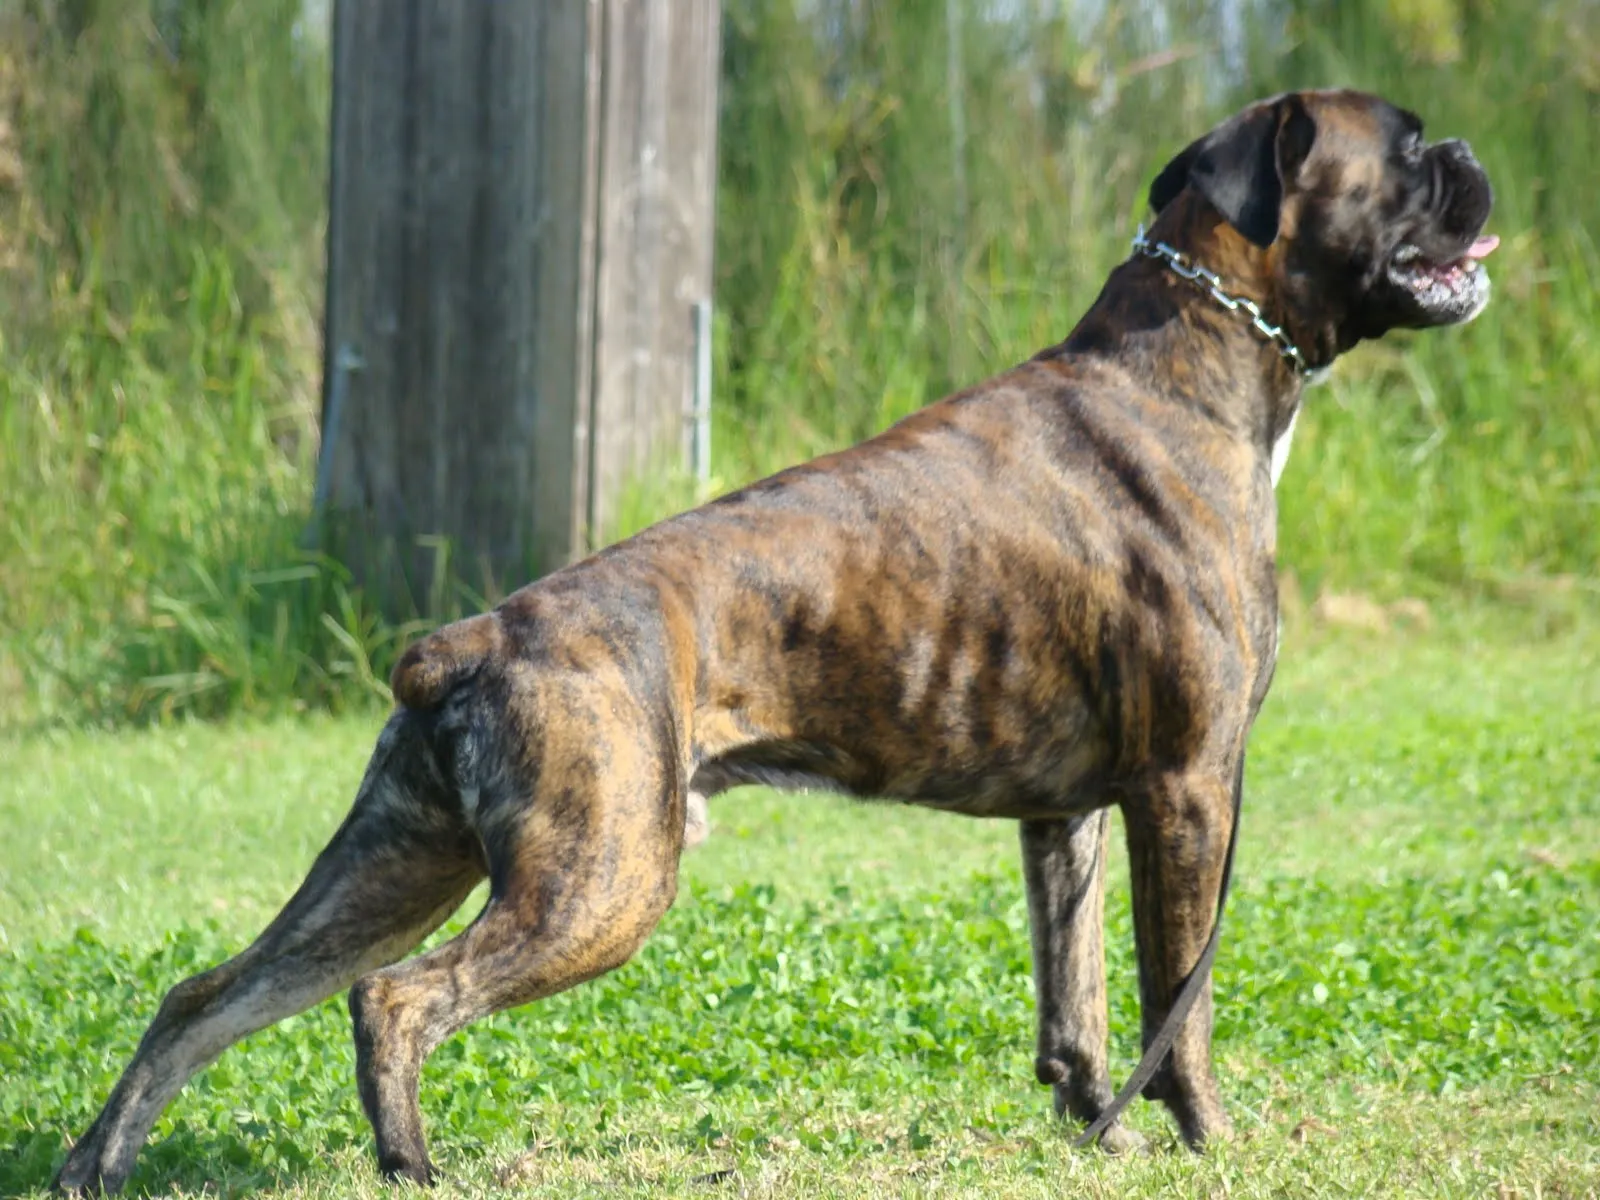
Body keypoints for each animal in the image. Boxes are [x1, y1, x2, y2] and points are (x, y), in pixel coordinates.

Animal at [53, 89, 1497, 1196]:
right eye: (1407, 146)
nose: (1475, 157)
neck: (1190, 361)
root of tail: (470, 637)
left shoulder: (1072, 814)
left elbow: (1076, 996)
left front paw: (1099, 1129)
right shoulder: (1191, 787)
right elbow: (1175, 997)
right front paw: (1207, 1138)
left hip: (392, 867)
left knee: (208, 997)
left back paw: (95, 1164)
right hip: (597, 885)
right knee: (399, 1002)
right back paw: (415, 1169)